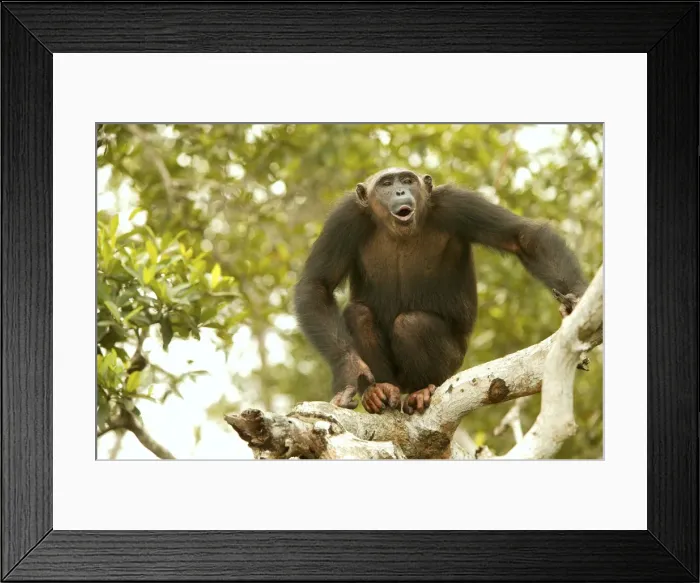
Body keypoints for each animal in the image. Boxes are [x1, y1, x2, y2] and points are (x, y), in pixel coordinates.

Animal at [294, 167, 589, 415]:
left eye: (407, 180)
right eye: (387, 184)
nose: (400, 192)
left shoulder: (458, 204)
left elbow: (523, 237)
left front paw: (576, 299)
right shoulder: (344, 219)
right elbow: (317, 285)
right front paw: (349, 370)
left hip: (452, 363)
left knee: (413, 324)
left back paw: (422, 389)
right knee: (359, 314)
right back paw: (378, 391)